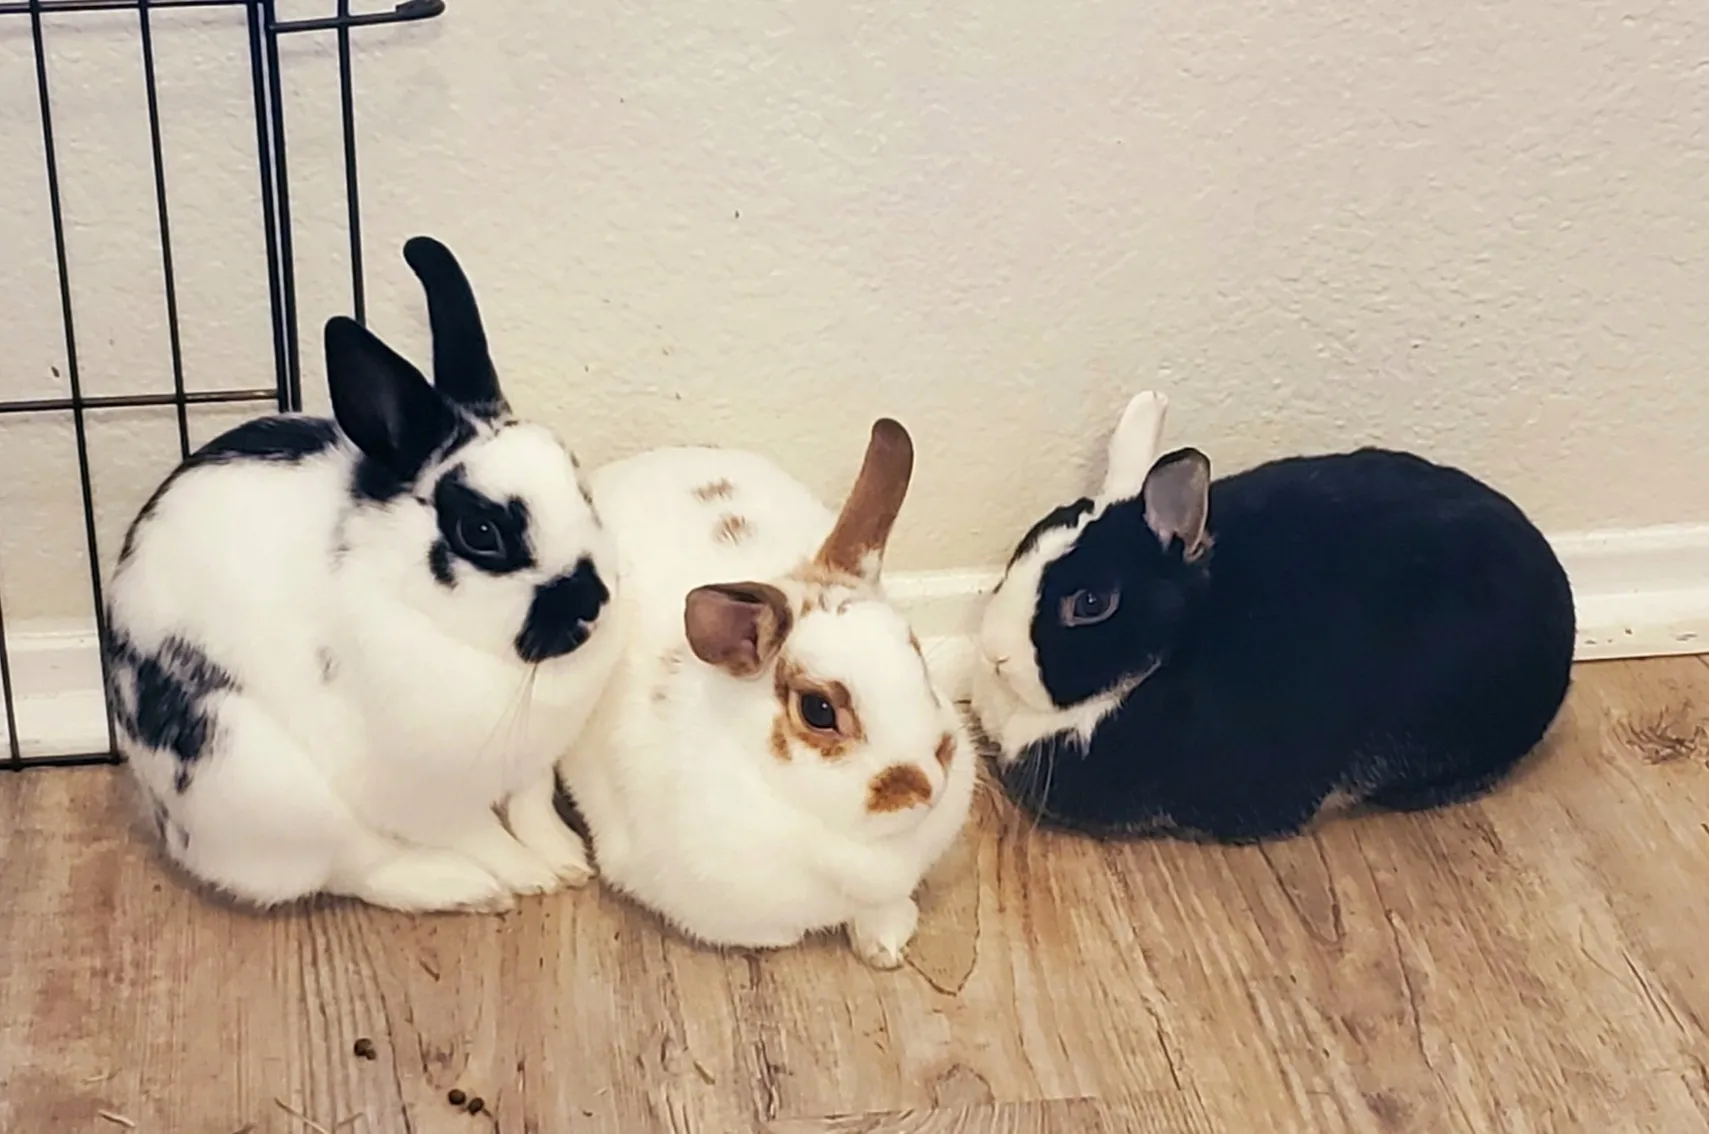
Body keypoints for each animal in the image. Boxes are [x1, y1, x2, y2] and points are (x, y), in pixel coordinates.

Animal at [104, 236, 623, 913]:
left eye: (579, 483)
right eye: (481, 533)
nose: (591, 601)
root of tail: (166, 821)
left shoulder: (532, 764)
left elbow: (531, 807)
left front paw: (563, 862)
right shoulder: (425, 793)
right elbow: (479, 833)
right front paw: (524, 876)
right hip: (263, 784)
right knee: (357, 866)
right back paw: (461, 885)